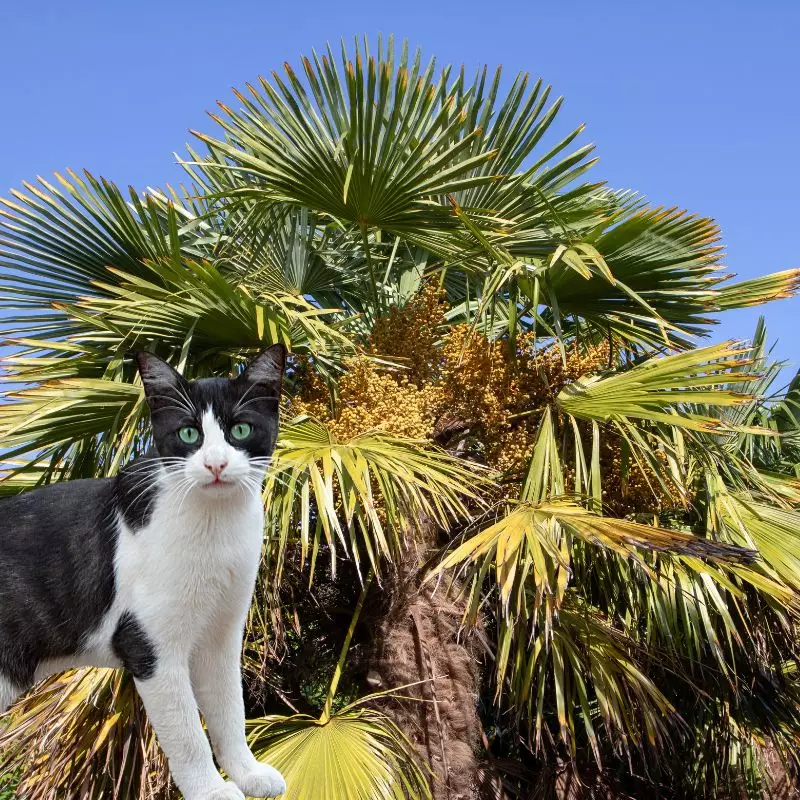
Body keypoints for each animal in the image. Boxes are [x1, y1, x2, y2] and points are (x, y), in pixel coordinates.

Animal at [0, 348, 288, 800]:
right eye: (189, 434)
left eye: (241, 429)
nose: (216, 464)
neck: (214, 527)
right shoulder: (150, 646)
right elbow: (188, 734)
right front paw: (212, 790)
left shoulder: (221, 636)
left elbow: (229, 708)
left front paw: (248, 773)